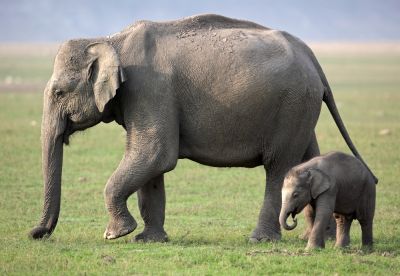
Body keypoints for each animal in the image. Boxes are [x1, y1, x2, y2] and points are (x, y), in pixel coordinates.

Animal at [29, 14, 376, 242]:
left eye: (59, 93)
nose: (35, 234)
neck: (111, 39)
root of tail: (312, 56)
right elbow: (151, 165)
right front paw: (150, 240)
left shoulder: (149, 89)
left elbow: (155, 153)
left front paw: (116, 235)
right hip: (301, 108)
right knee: (308, 154)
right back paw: (320, 238)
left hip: (292, 105)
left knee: (279, 165)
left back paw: (261, 239)